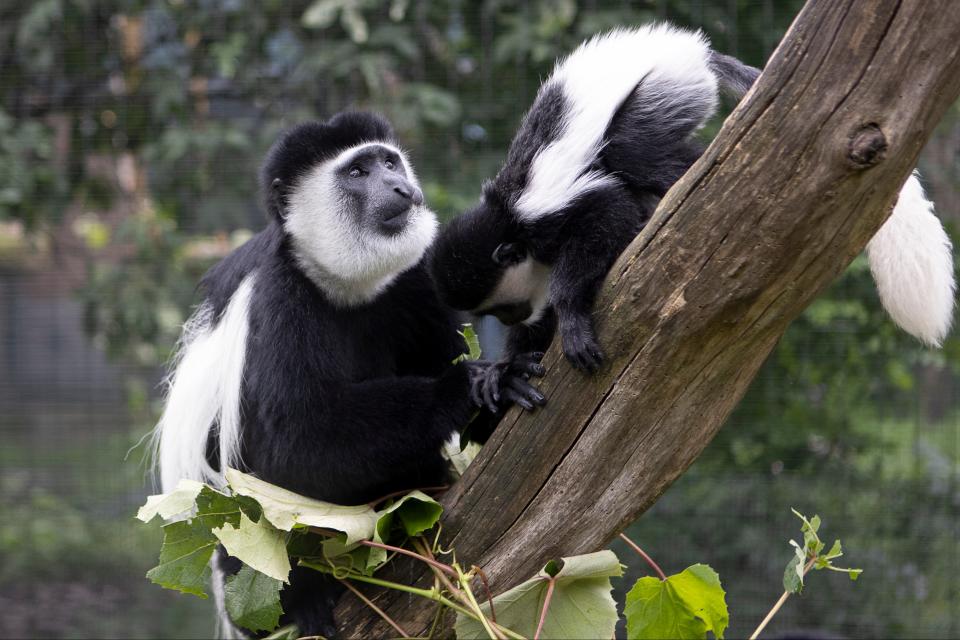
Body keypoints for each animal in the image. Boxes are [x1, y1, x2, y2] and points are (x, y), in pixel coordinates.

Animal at [154, 112, 544, 636]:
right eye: (357, 173)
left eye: (388, 162)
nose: (400, 187)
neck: (344, 285)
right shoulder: (281, 303)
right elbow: (299, 448)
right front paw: (466, 386)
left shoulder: (416, 279)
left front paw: (500, 385)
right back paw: (308, 603)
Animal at [432, 23, 956, 376]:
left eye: (502, 309)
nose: (514, 318)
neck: (507, 218)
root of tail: (690, 48)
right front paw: (507, 369)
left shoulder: (548, 214)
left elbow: (607, 213)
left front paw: (571, 318)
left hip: (665, 89)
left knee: (634, 150)